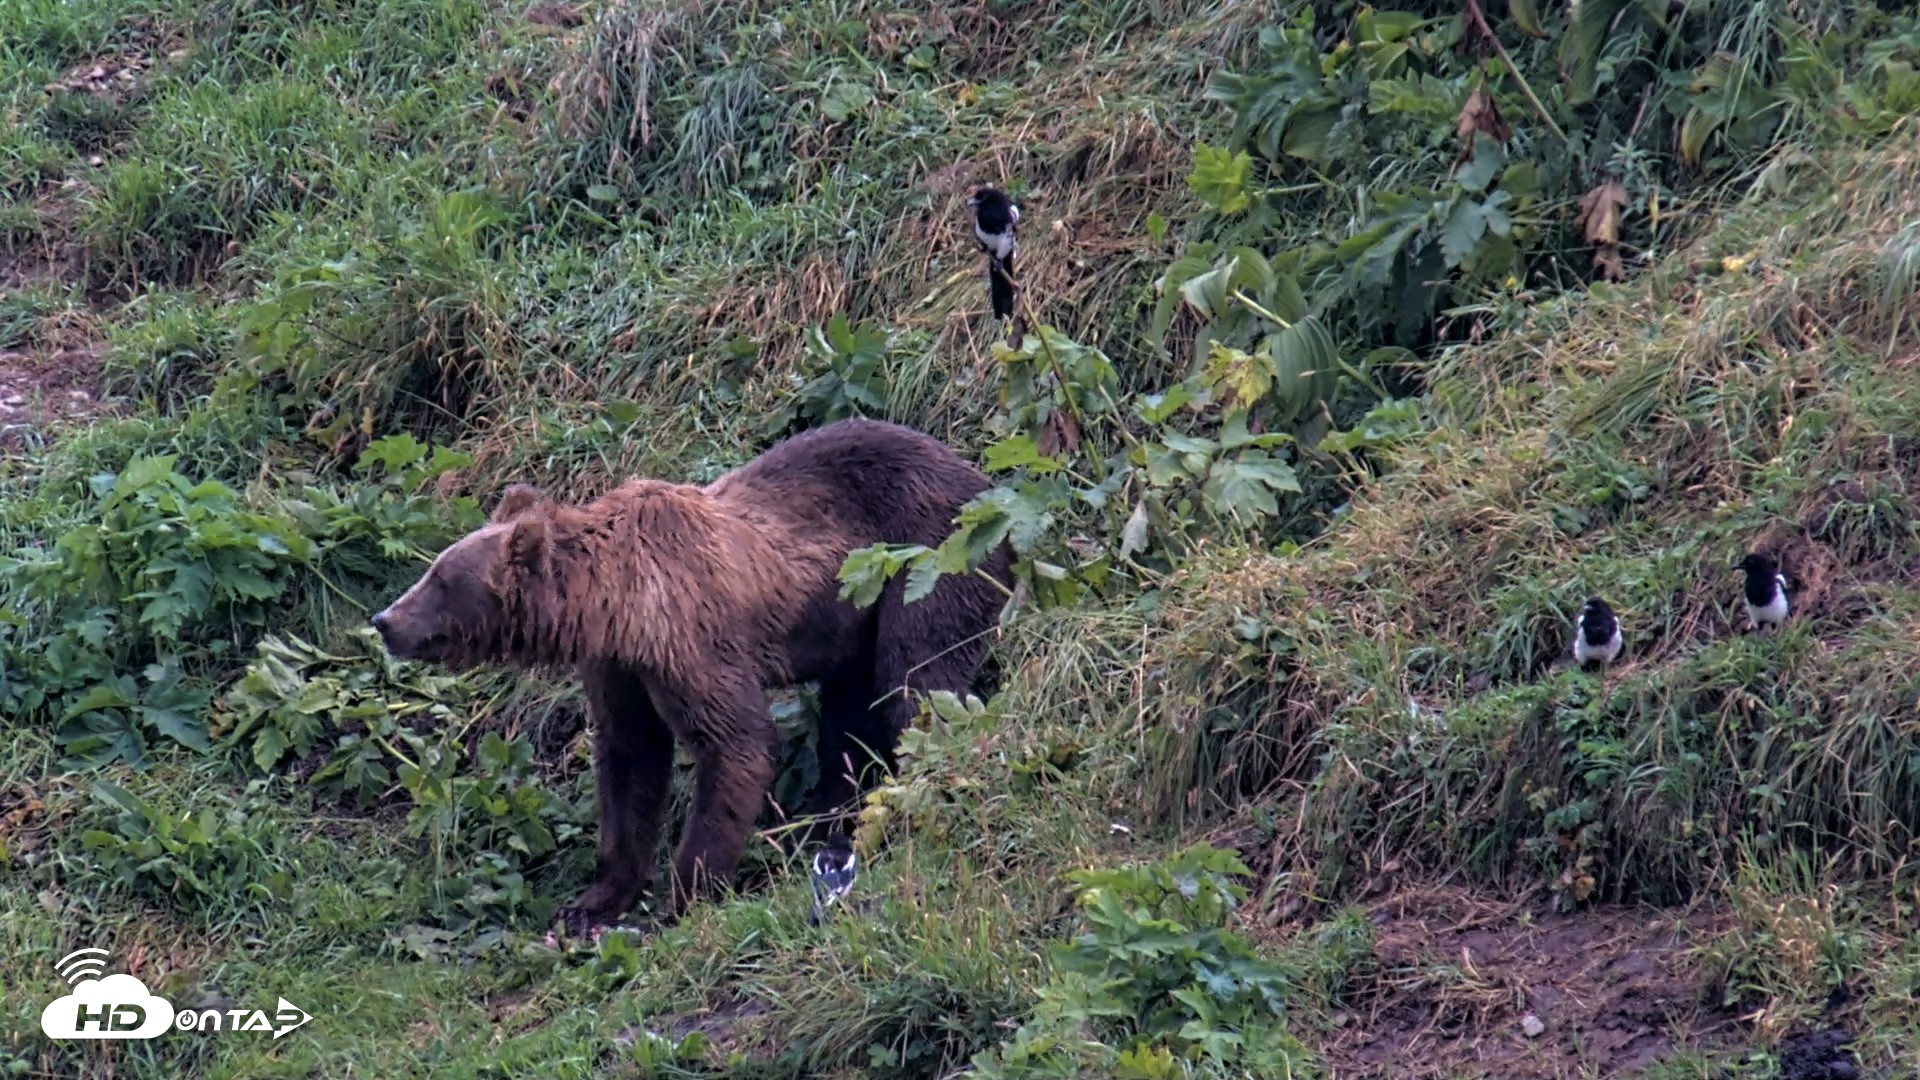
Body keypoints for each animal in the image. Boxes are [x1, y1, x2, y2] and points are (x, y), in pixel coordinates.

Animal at [368, 417, 1016, 934]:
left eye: (440, 579)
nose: (383, 620)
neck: (616, 605)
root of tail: (988, 481)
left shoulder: (689, 640)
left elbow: (735, 742)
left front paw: (686, 893)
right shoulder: (619, 667)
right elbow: (630, 759)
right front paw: (594, 899)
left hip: (927, 558)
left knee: (916, 681)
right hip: (854, 611)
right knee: (849, 718)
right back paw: (820, 823)